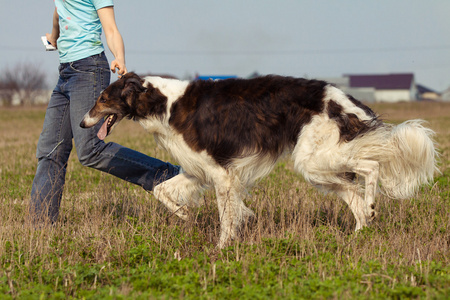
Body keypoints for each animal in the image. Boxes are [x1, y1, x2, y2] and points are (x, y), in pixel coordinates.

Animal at [79, 72, 438, 248]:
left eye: (102, 98)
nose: (82, 123)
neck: (165, 102)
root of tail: (342, 97)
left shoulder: (221, 173)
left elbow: (227, 217)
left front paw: (221, 249)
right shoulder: (199, 169)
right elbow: (161, 190)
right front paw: (183, 214)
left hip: (317, 159)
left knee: (371, 166)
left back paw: (373, 207)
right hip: (319, 167)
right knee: (356, 197)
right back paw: (359, 234)